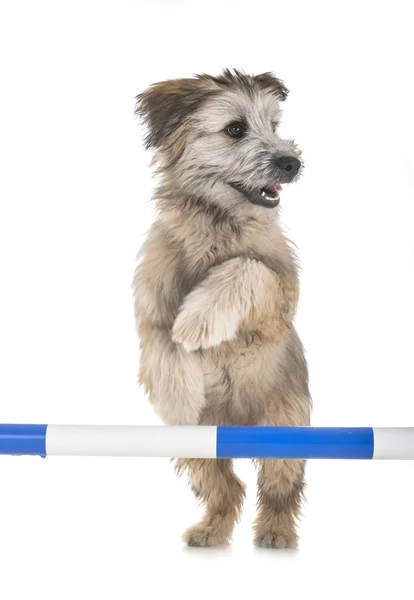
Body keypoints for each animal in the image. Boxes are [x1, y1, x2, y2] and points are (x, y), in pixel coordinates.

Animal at [133, 69, 310, 548]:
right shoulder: (149, 313)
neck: (214, 225)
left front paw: (197, 320)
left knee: (279, 488)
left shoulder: (277, 297)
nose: (291, 163)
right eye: (235, 128)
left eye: (273, 124)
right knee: (227, 488)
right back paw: (210, 530)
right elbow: (163, 346)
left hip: (284, 430)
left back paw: (275, 532)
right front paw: (181, 391)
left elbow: (246, 266)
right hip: (201, 454)